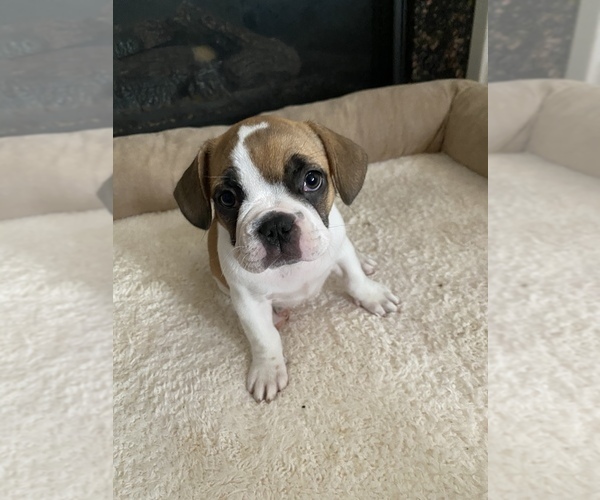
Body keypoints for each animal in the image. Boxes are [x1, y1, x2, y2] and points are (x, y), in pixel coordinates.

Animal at [174, 116, 399, 402]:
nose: (275, 225)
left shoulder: (340, 250)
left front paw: (371, 295)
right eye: (227, 198)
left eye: (312, 180)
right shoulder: (248, 303)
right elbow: (264, 338)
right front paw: (268, 369)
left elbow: (354, 278)